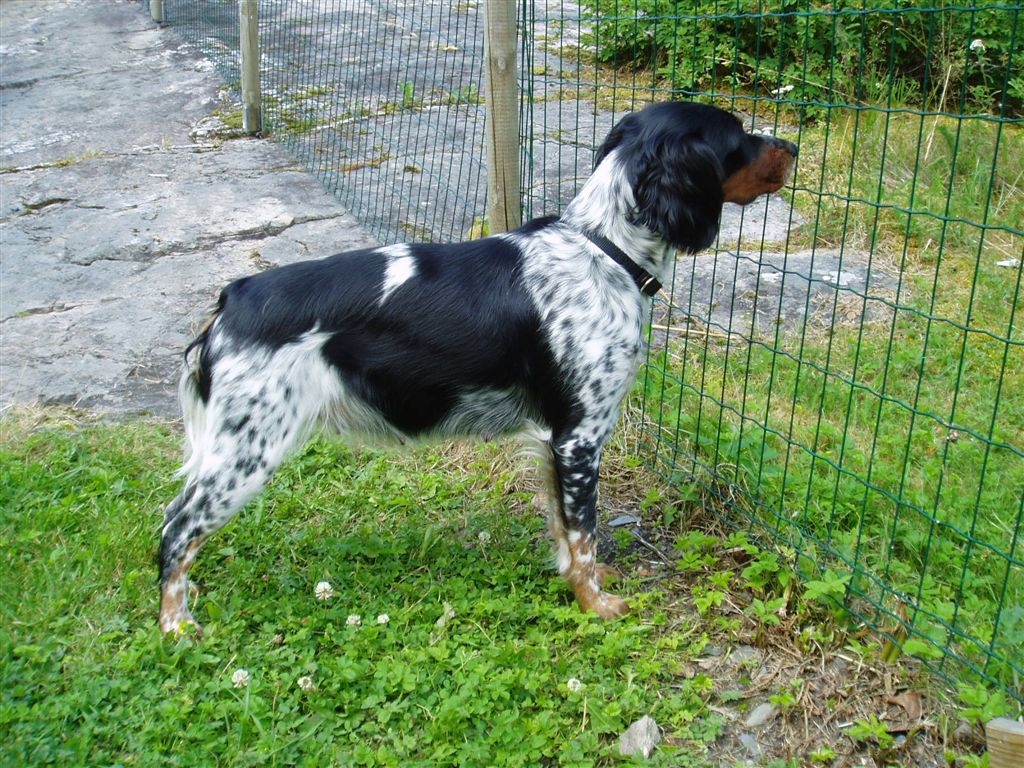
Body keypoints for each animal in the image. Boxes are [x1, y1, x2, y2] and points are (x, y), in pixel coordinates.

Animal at [158, 101, 797, 634]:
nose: (791, 145)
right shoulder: (579, 438)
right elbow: (585, 531)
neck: (604, 249)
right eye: (739, 136)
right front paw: (596, 605)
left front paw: (582, 584)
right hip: (246, 452)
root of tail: (233, 297)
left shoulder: (553, 442)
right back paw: (176, 627)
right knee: (174, 528)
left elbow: (565, 529)